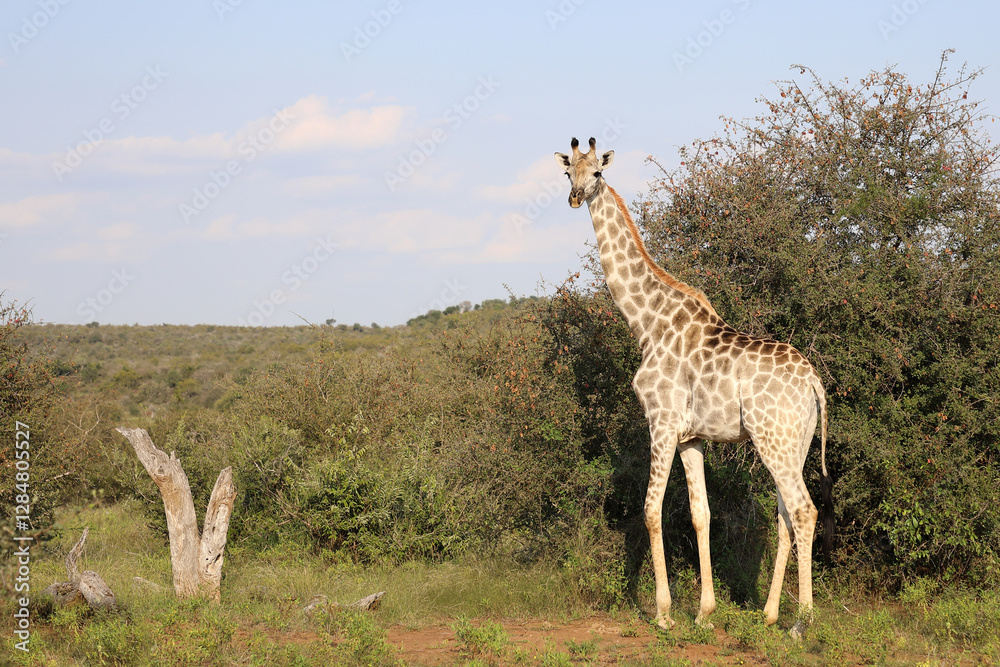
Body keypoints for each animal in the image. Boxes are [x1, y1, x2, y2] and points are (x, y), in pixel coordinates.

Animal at [555, 137, 830, 638]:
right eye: (569, 174)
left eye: (597, 173)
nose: (575, 197)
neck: (644, 323)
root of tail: (814, 382)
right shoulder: (692, 437)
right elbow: (702, 515)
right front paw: (704, 612)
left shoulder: (661, 423)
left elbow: (650, 510)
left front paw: (663, 613)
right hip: (794, 443)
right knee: (786, 515)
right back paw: (769, 614)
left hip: (773, 440)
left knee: (804, 510)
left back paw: (801, 623)